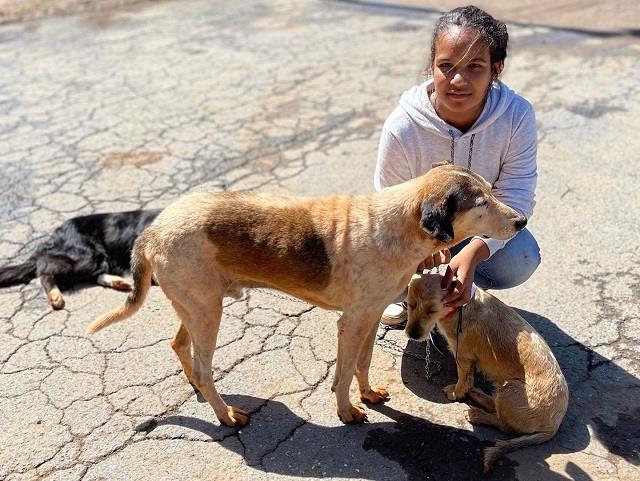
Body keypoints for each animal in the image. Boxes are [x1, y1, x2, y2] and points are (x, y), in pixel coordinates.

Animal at [0, 209, 160, 308]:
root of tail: (53, 236)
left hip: (95, 260)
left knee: (95, 276)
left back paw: (118, 282)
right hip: (83, 258)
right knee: (44, 271)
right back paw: (55, 297)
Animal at [86, 165, 524, 428]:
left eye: (491, 191)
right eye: (481, 202)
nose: (521, 220)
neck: (396, 225)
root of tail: (152, 230)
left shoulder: (369, 317)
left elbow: (362, 363)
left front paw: (368, 394)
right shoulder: (351, 323)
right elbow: (344, 373)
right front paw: (346, 411)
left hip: (196, 306)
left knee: (179, 345)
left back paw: (195, 383)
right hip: (208, 314)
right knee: (207, 369)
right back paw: (225, 414)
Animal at [408, 272, 568, 470]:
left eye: (431, 310)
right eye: (410, 305)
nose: (412, 334)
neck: (461, 306)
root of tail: (553, 426)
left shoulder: (462, 356)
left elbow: (464, 379)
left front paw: (456, 392)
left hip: (511, 389)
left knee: (503, 425)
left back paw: (477, 414)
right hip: (504, 390)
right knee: (496, 406)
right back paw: (478, 396)